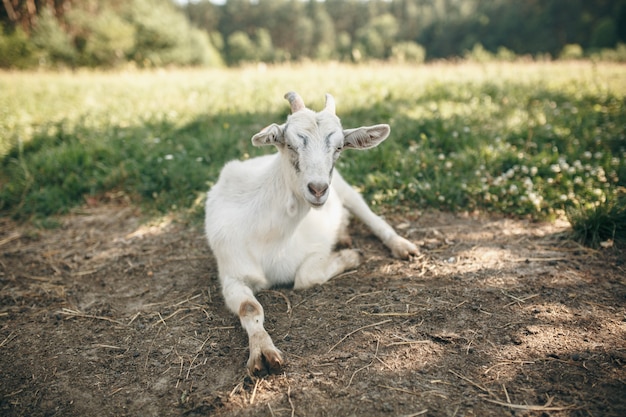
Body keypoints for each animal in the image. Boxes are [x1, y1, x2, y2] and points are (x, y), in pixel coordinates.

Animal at [206, 91, 420, 374]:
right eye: (290, 144)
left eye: (339, 147)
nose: (318, 189)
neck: (270, 236)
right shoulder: (233, 273)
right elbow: (249, 307)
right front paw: (262, 352)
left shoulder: (316, 247)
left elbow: (305, 277)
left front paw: (351, 256)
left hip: (345, 188)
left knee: (371, 217)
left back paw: (401, 246)